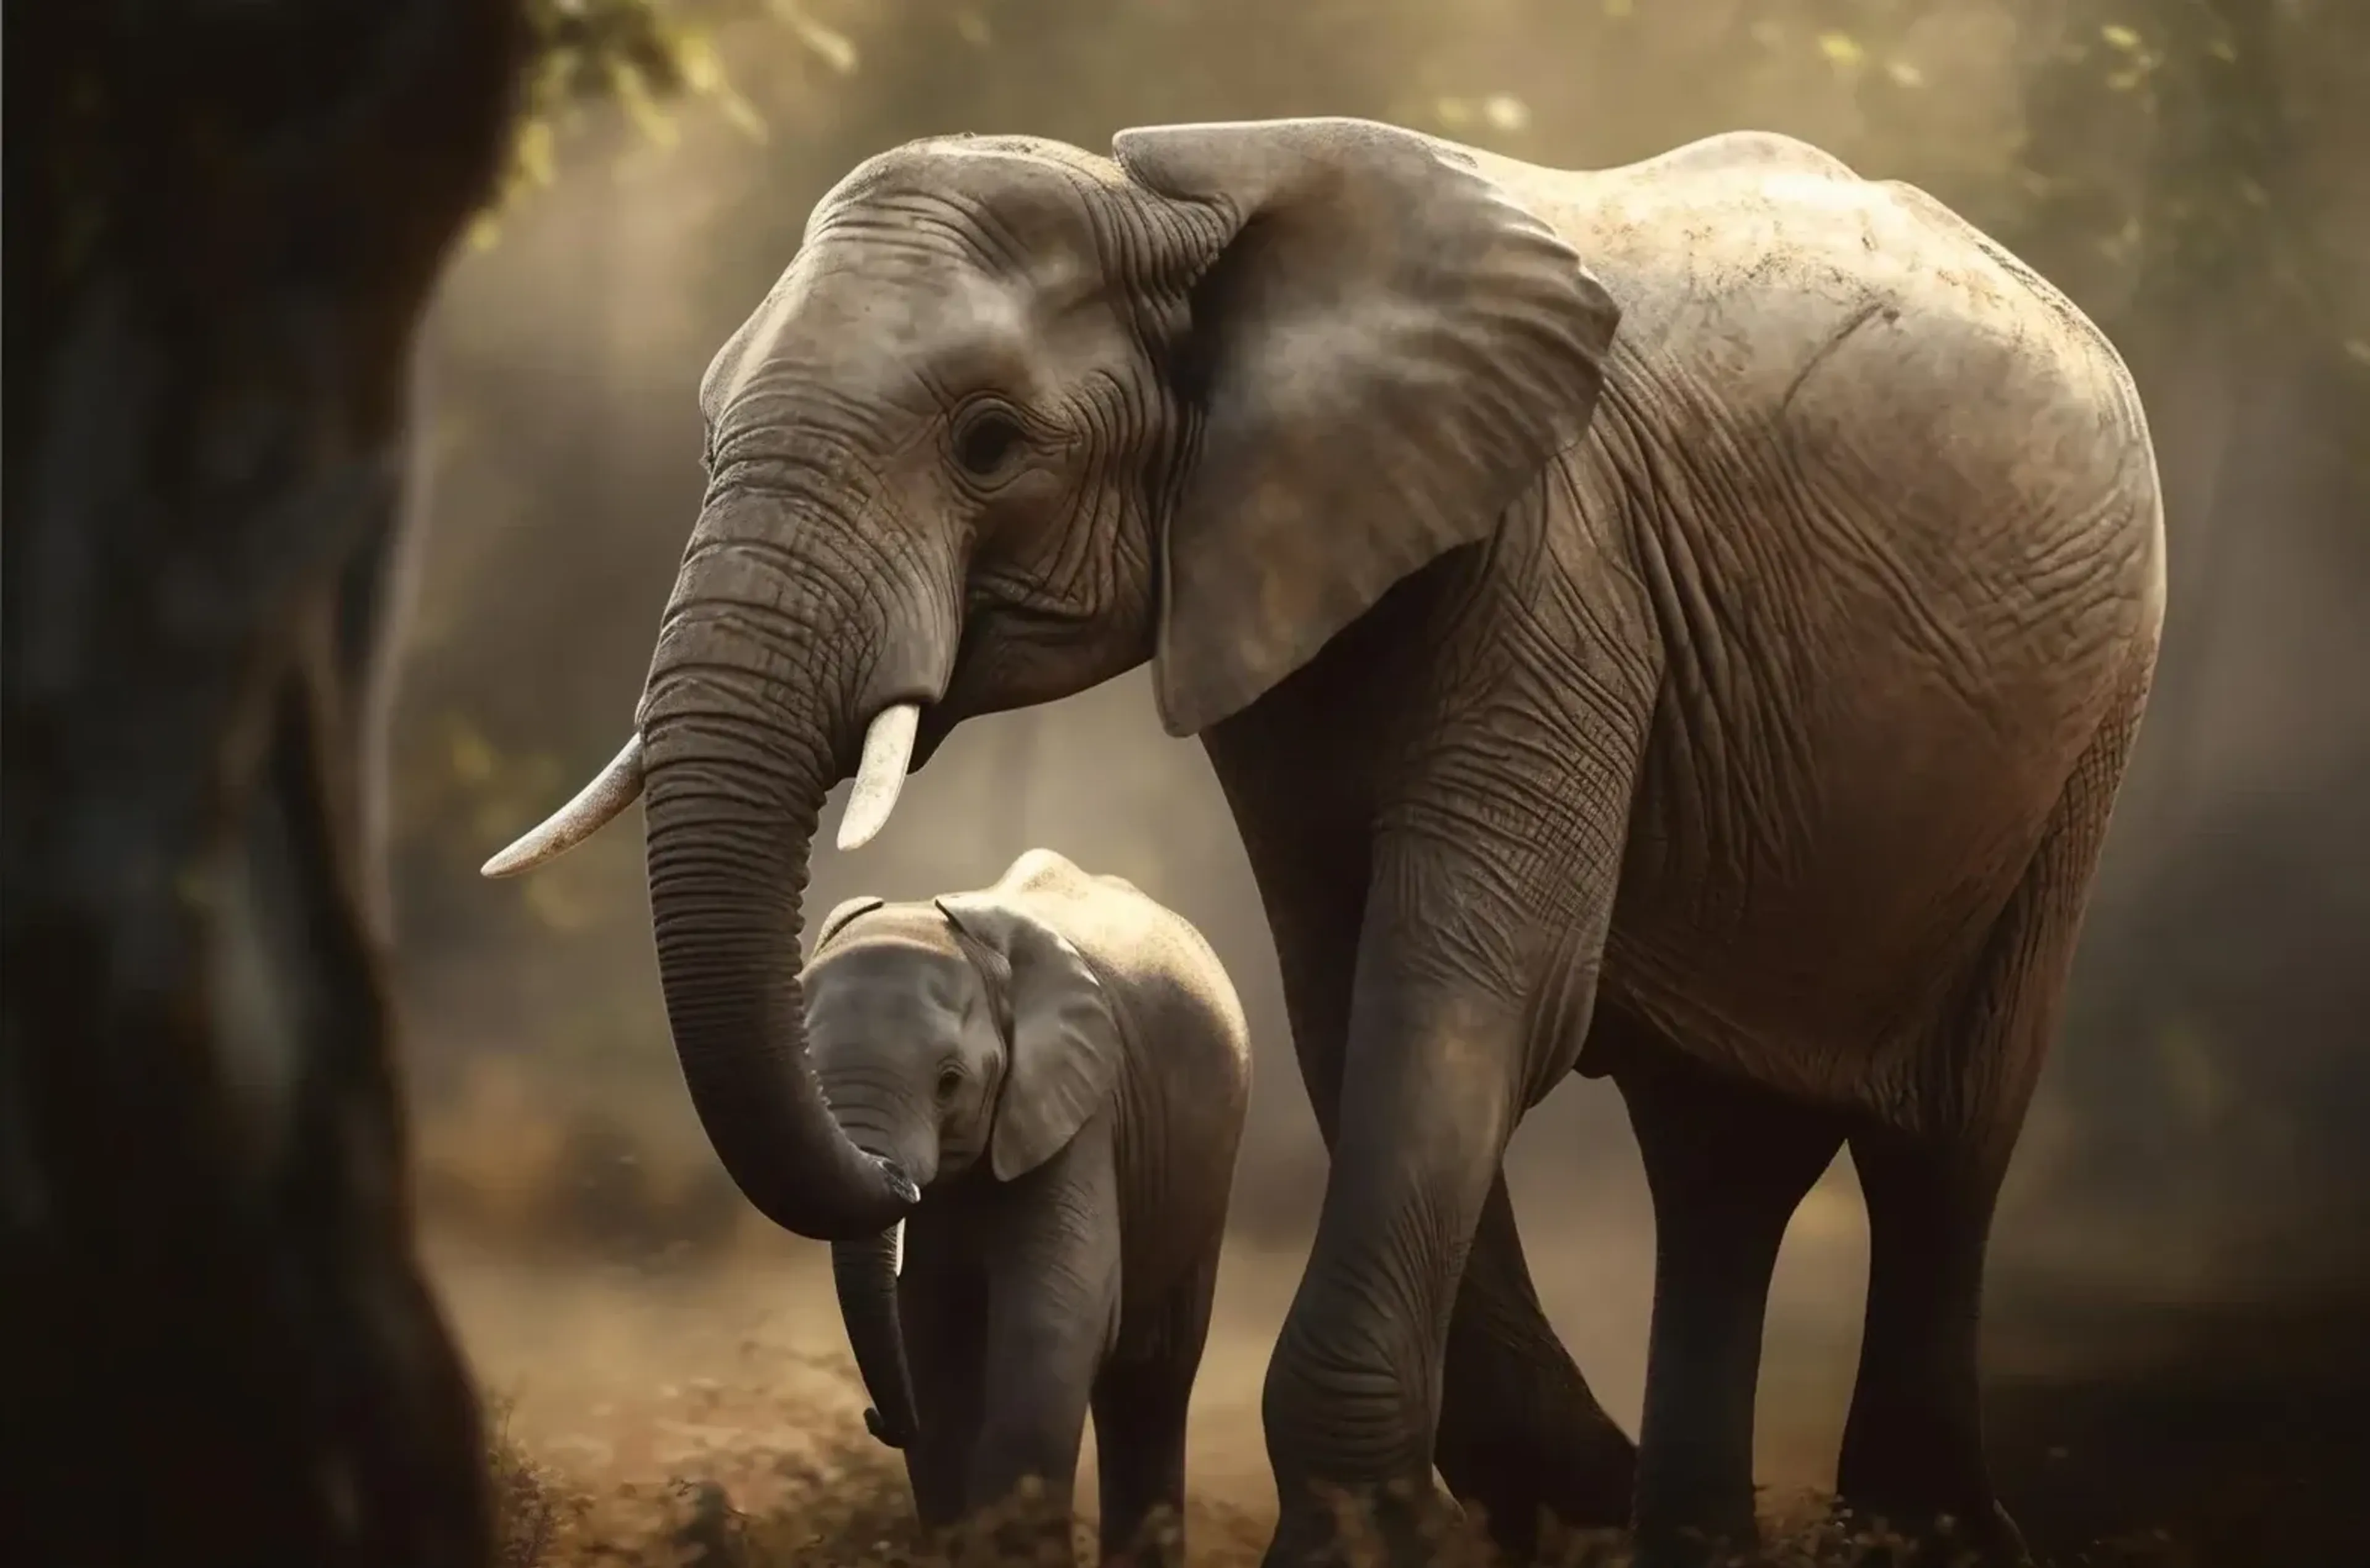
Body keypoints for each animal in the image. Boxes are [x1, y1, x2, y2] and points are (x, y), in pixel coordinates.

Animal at [797, 848, 1251, 1562]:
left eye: (949, 1082)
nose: (876, 1420)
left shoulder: (1083, 1113)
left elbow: (1053, 1323)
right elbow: (928, 1335)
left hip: (1206, 1178)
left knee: (1153, 1379)